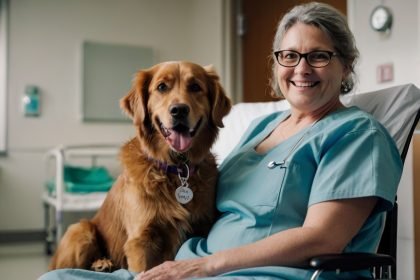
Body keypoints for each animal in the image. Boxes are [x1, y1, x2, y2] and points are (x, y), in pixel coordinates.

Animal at [50, 61, 233, 274]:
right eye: (161, 87)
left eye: (195, 87)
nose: (179, 110)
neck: (176, 169)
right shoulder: (141, 241)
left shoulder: (203, 226)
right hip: (81, 230)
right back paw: (100, 263)